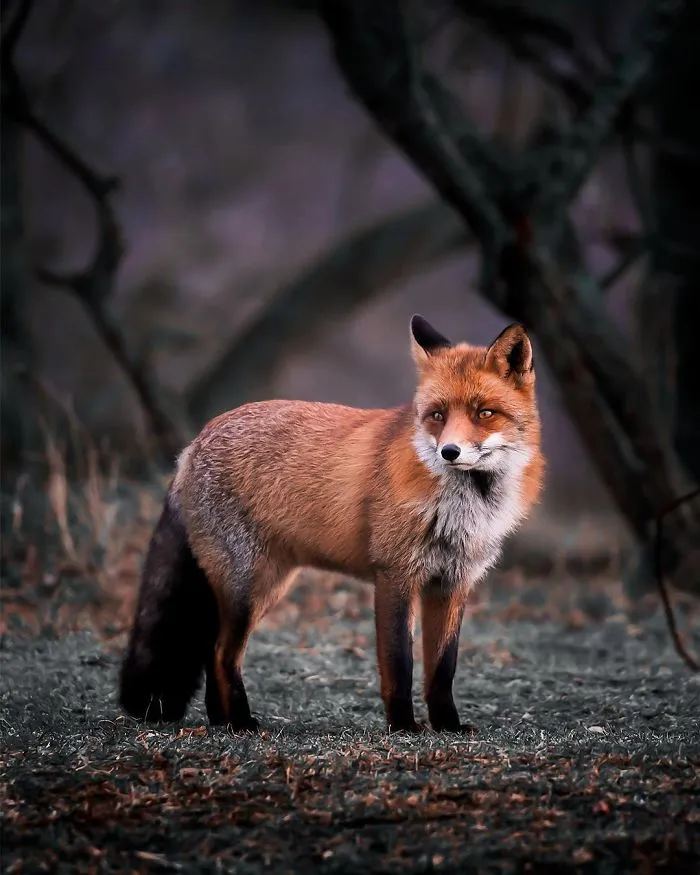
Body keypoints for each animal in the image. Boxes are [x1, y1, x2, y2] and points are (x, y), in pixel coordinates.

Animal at [119, 315, 544, 733]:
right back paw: (241, 722)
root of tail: (193, 444)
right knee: (223, 654)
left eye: (484, 413)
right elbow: (399, 665)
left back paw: (221, 722)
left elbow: (442, 668)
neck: (464, 508)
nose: (449, 451)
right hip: (248, 589)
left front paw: (447, 726)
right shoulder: (395, 576)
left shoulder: (452, 584)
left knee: (212, 651)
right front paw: (404, 727)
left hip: (264, 587)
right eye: (437, 415)